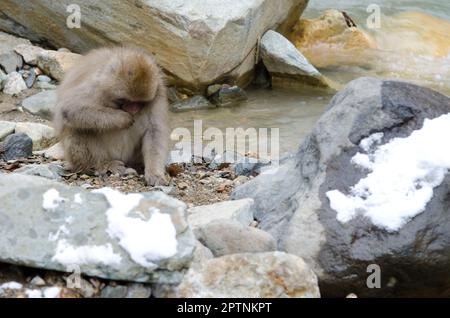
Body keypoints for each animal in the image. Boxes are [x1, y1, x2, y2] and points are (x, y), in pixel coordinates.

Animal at [53, 47, 170, 186]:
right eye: (124, 100)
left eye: (140, 102)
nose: (133, 110)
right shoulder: (96, 86)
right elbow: (70, 108)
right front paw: (122, 118)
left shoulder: (158, 93)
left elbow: (155, 131)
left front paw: (155, 174)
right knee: (77, 129)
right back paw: (103, 164)